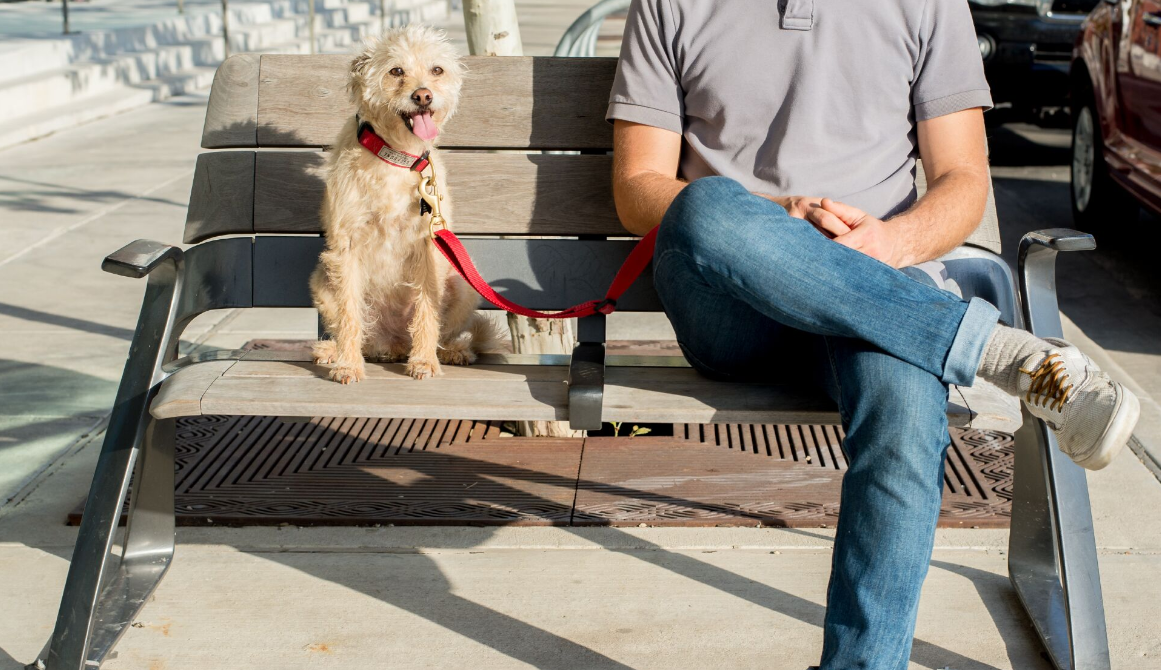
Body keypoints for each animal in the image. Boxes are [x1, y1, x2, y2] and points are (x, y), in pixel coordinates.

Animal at [311, 27, 496, 380]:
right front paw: (348, 365)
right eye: (396, 71)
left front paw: (424, 361)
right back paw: (334, 351)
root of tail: (392, 342)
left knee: (443, 331)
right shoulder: (346, 246)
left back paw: (451, 352)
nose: (423, 96)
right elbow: (350, 314)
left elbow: (427, 310)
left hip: (462, 283)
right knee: (358, 328)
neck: (396, 158)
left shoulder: (429, 247)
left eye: (437, 70)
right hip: (323, 278)